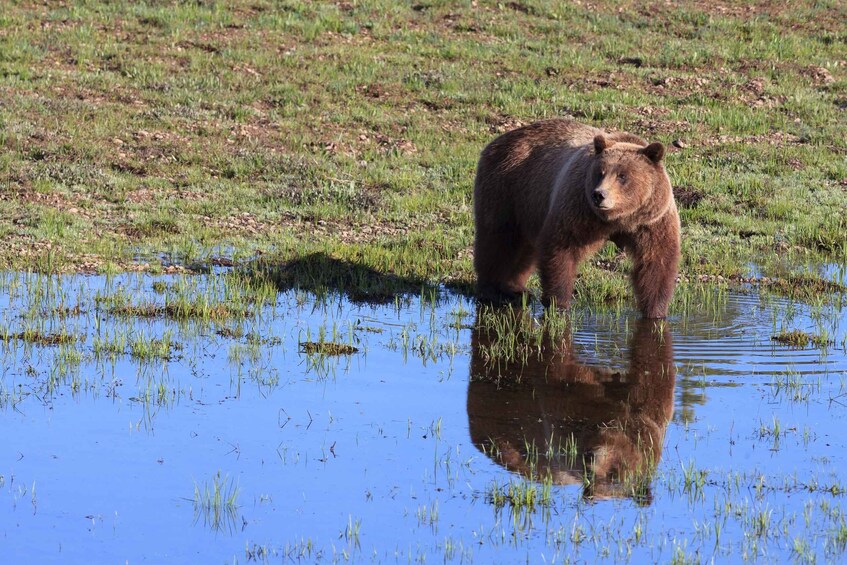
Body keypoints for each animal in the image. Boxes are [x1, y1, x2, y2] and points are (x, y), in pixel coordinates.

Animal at [474, 118, 684, 318]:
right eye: (600, 172)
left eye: (622, 176)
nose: (599, 195)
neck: (619, 219)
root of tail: (500, 139)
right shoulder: (578, 209)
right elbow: (560, 249)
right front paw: (558, 304)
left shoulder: (652, 222)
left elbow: (656, 264)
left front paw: (656, 311)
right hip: (506, 188)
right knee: (497, 241)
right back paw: (494, 290)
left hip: (529, 206)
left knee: (523, 249)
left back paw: (515, 288)